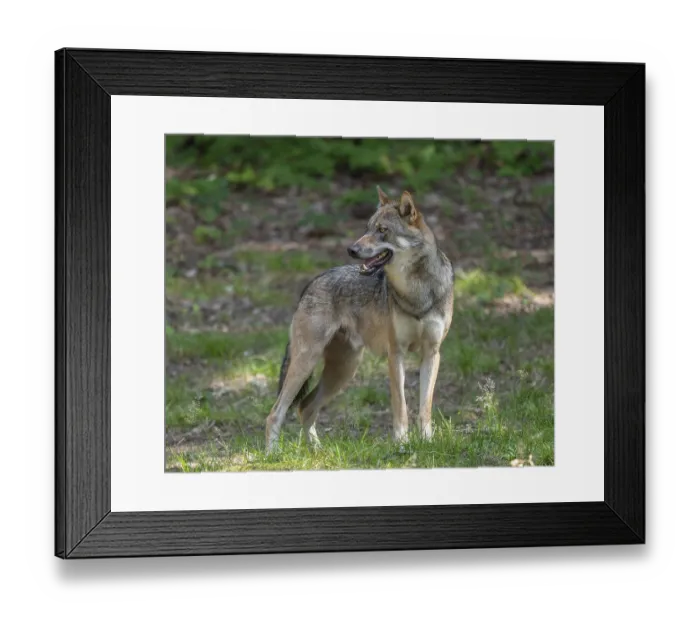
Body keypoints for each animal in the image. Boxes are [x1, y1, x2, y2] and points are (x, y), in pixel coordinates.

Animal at [265, 187, 454, 452]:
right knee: (276, 412)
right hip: (307, 363)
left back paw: (317, 451)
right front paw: (401, 444)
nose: (351, 249)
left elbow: (424, 408)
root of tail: (313, 281)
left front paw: (427, 442)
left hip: (343, 371)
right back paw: (272, 454)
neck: (417, 291)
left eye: (382, 230)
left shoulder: (431, 354)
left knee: (305, 407)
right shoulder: (396, 354)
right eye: (367, 228)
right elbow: (401, 407)